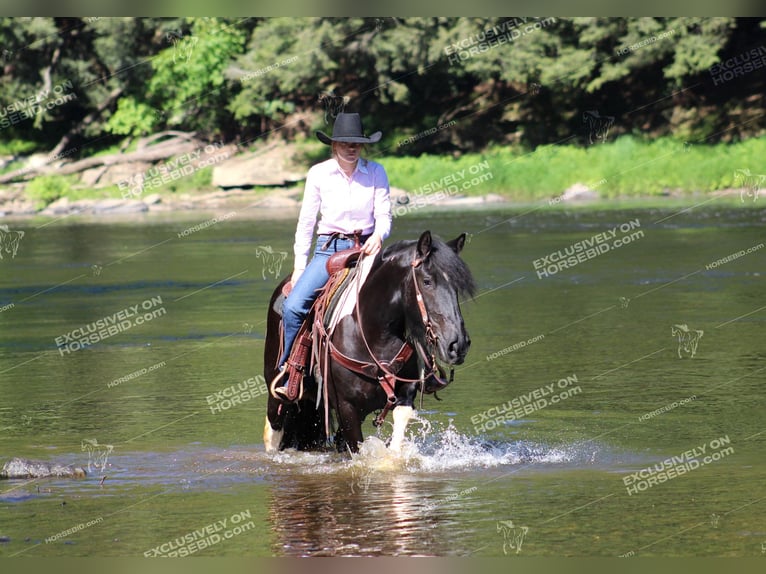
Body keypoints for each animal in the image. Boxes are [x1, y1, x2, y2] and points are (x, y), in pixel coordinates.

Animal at [264, 232, 474, 456]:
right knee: (272, 431)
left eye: (457, 286)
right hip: (277, 396)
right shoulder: (346, 407)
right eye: (427, 281)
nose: (458, 344)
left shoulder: (405, 396)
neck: (375, 335)